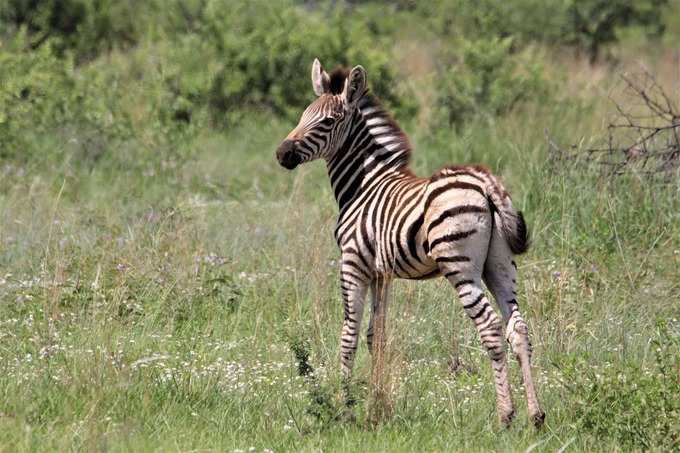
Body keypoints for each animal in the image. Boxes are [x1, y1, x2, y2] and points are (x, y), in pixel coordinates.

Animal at [274, 58, 544, 426]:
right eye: (303, 116)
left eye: (327, 121)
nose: (281, 153)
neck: (364, 184)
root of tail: (485, 183)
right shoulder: (381, 273)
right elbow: (376, 335)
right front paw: (375, 403)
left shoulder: (353, 263)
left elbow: (349, 335)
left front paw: (344, 406)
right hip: (499, 263)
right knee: (518, 328)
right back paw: (535, 415)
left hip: (460, 266)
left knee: (490, 327)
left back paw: (505, 415)